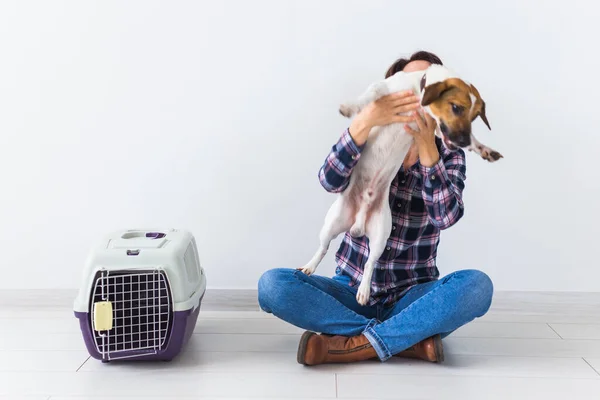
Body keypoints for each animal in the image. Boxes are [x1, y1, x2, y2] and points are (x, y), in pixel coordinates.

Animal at [298, 64, 500, 304]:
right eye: (456, 107)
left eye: (476, 116)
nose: (464, 142)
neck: (418, 93)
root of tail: (358, 222)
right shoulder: (385, 91)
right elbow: (370, 95)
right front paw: (350, 106)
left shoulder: (438, 129)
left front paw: (484, 149)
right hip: (332, 224)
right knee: (323, 248)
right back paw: (309, 267)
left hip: (380, 235)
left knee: (369, 264)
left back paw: (364, 291)